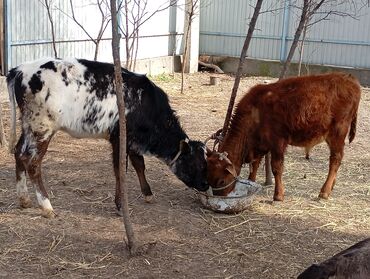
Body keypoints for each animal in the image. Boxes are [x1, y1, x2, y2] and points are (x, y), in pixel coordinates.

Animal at [6, 58, 208, 218]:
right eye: (195, 164)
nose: (206, 185)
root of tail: (20, 69)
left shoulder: (132, 141)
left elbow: (139, 164)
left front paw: (148, 194)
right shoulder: (119, 137)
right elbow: (121, 170)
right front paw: (121, 206)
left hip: (29, 126)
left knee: (19, 153)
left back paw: (24, 199)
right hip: (42, 127)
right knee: (32, 162)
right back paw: (47, 206)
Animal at [208, 72, 362, 201]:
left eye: (221, 181)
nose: (220, 196)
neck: (255, 112)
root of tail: (349, 79)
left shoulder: (278, 142)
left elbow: (276, 167)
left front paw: (278, 195)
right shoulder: (260, 144)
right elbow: (255, 164)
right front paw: (251, 181)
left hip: (338, 132)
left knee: (335, 159)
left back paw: (324, 191)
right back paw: (331, 186)